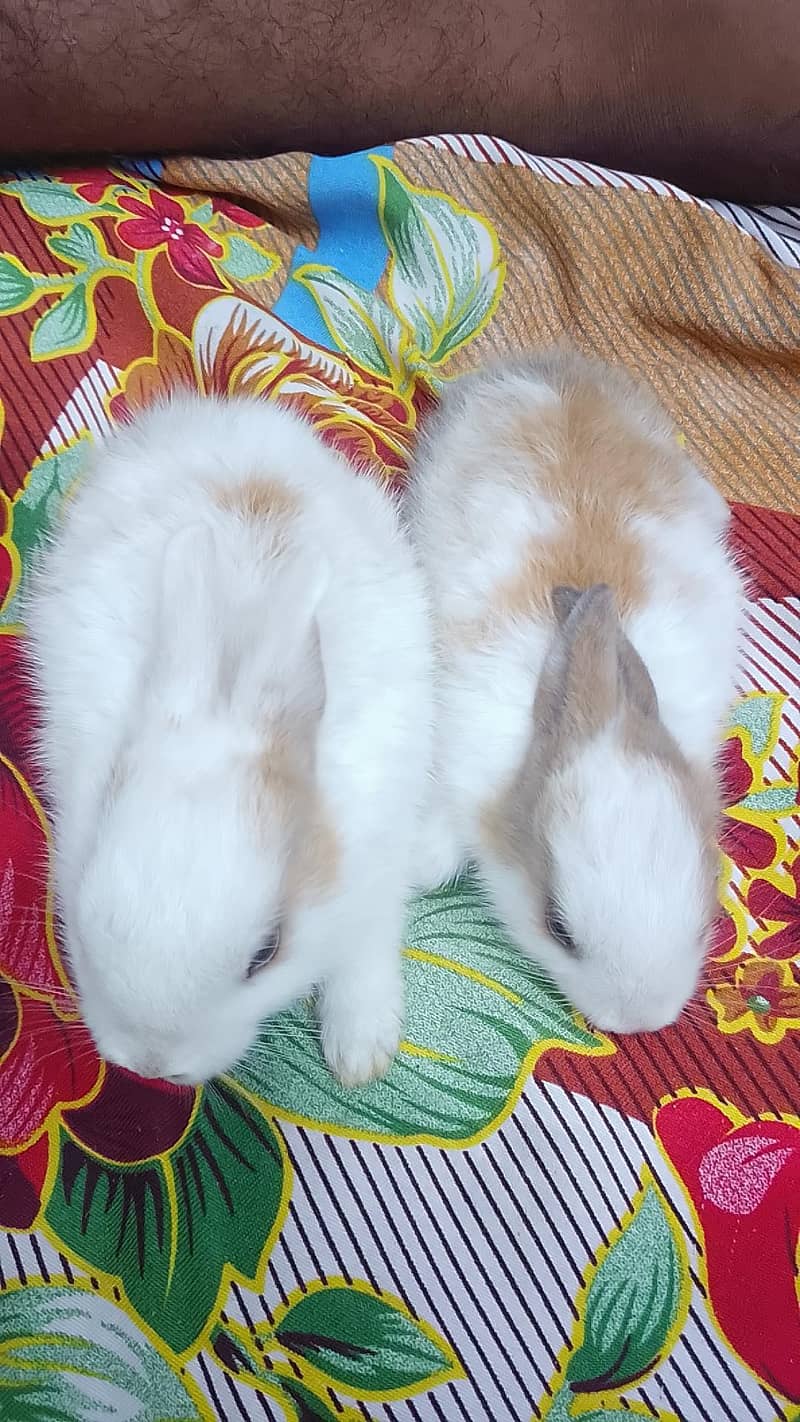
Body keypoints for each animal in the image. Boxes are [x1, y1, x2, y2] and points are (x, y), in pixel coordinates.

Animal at [24, 392, 433, 1087]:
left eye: (266, 953)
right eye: (79, 907)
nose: (152, 1066)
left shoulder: (381, 853)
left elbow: (365, 947)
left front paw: (360, 1054)